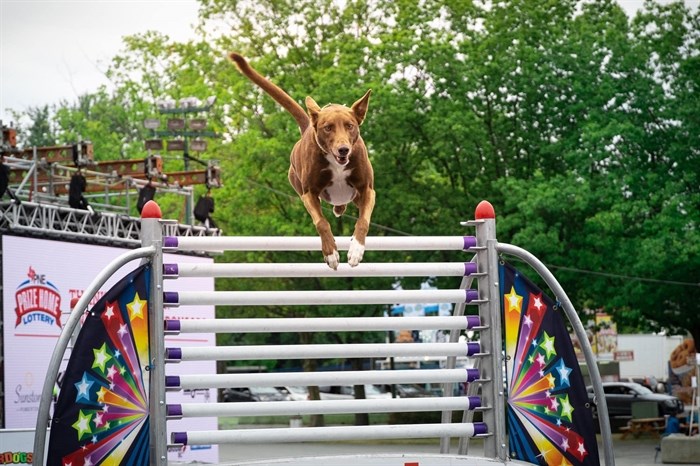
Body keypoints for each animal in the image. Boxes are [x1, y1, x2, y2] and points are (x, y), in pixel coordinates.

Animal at [228, 52, 372, 270]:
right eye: (328, 127)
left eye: (350, 125)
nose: (343, 149)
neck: (336, 164)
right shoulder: (309, 193)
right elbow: (321, 222)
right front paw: (331, 253)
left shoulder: (367, 189)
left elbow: (363, 220)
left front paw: (356, 251)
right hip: (296, 181)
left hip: (354, 194)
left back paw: (339, 209)